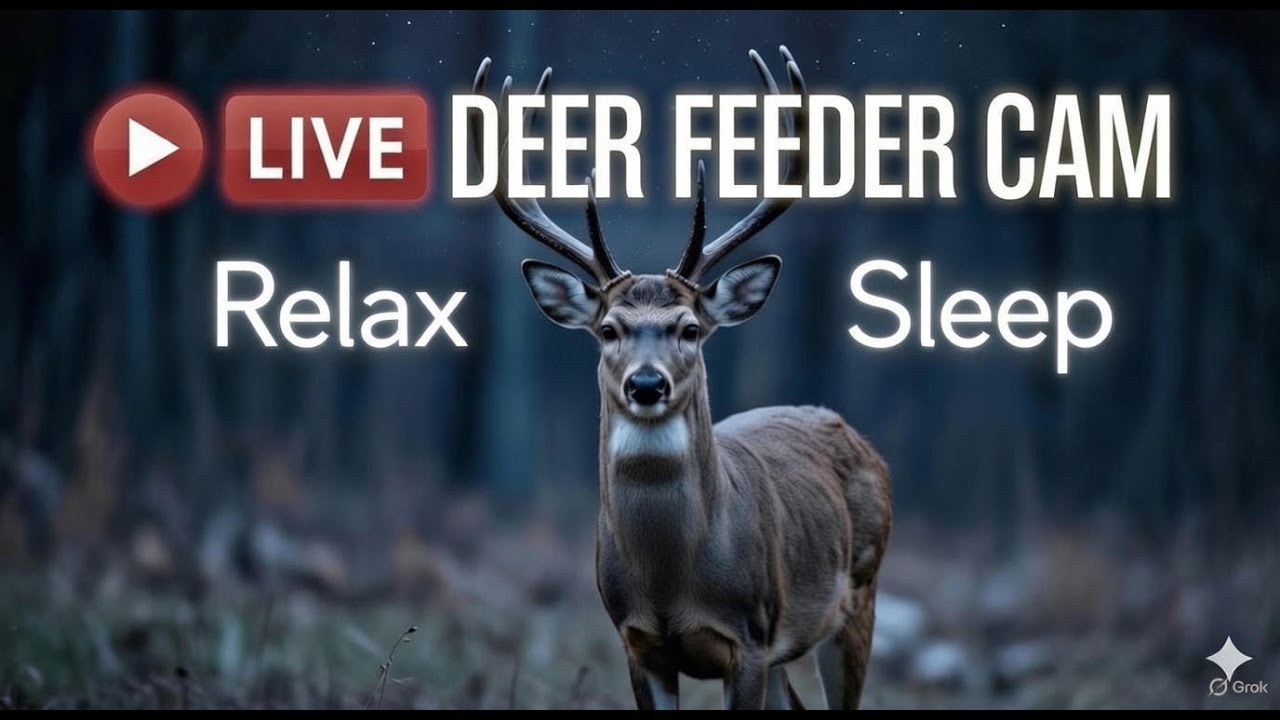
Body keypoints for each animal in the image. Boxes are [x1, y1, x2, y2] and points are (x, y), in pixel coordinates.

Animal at [468, 47, 892, 710]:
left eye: (690, 328)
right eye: (608, 329)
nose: (647, 385)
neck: (671, 583)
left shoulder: (750, 637)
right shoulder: (637, 642)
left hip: (859, 599)